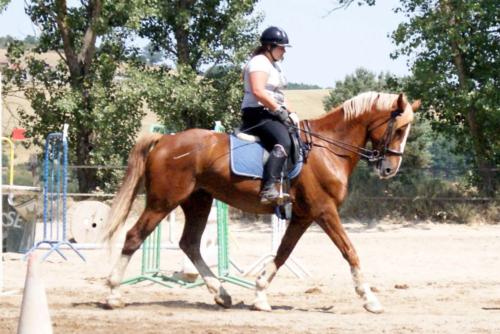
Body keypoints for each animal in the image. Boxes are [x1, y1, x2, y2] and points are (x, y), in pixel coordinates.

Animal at [103, 90, 420, 314]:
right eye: (399, 129)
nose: (390, 170)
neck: (328, 149)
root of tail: (165, 140)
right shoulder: (324, 210)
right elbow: (350, 251)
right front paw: (370, 299)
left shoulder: (303, 216)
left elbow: (282, 253)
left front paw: (259, 295)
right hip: (163, 202)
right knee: (134, 236)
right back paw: (113, 294)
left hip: (198, 202)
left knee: (190, 243)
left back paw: (221, 294)